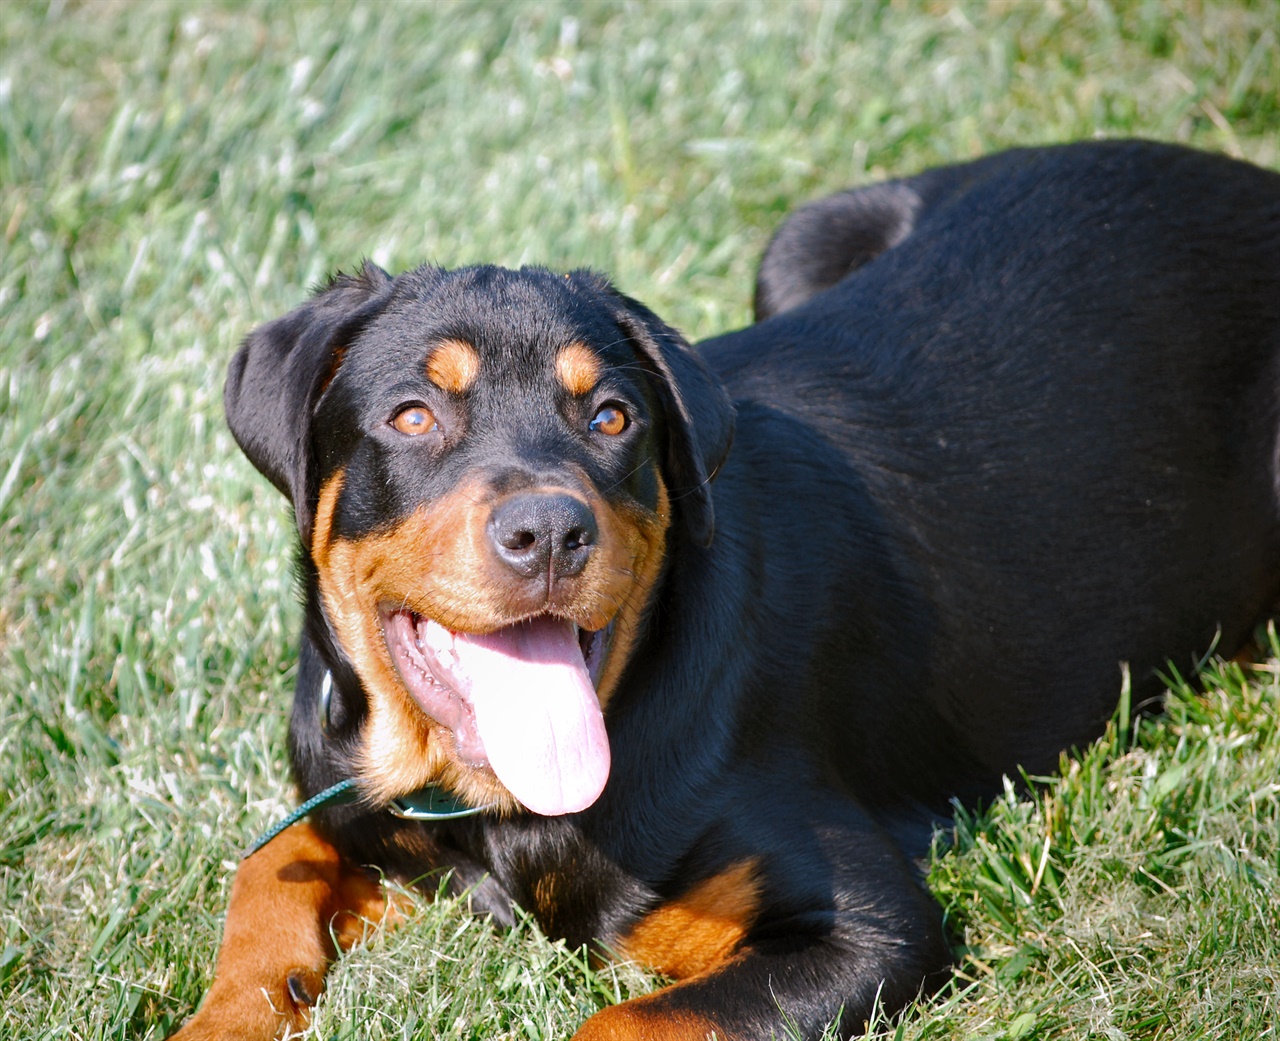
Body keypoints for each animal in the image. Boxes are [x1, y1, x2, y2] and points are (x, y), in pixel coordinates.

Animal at [172, 140, 1280, 1039]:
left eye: (612, 418)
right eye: (411, 416)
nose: (549, 532)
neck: (501, 808)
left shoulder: (870, 925)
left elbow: (625, 1020)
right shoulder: (352, 803)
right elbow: (267, 866)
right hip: (800, 239)